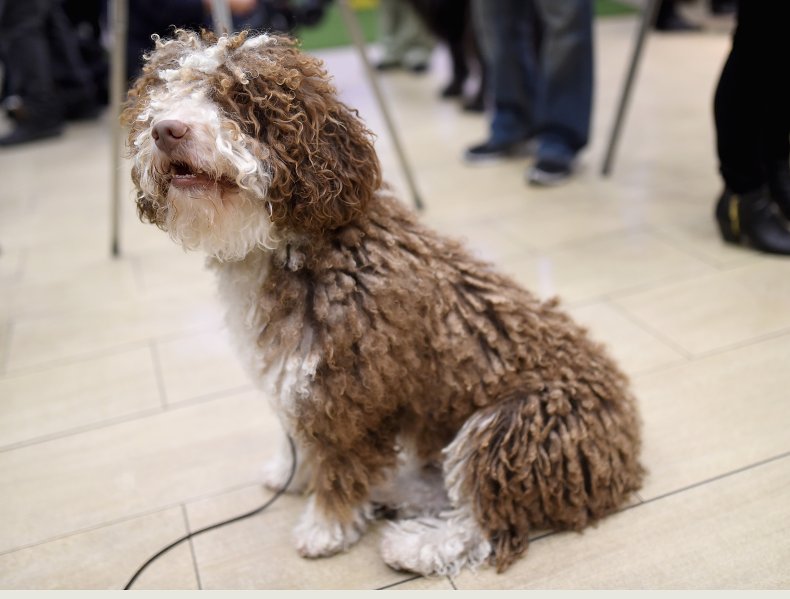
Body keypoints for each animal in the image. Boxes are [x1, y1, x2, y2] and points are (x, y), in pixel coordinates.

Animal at [122, 30, 644, 580]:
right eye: (163, 93)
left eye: (239, 99)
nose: (166, 129)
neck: (301, 246)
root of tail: (623, 457)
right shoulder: (297, 380)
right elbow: (299, 436)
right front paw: (290, 472)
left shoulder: (346, 394)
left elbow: (340, 465)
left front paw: (325, 527)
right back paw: (400, 489)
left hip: (512, 427)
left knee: (488, 521)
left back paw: (415, 544)